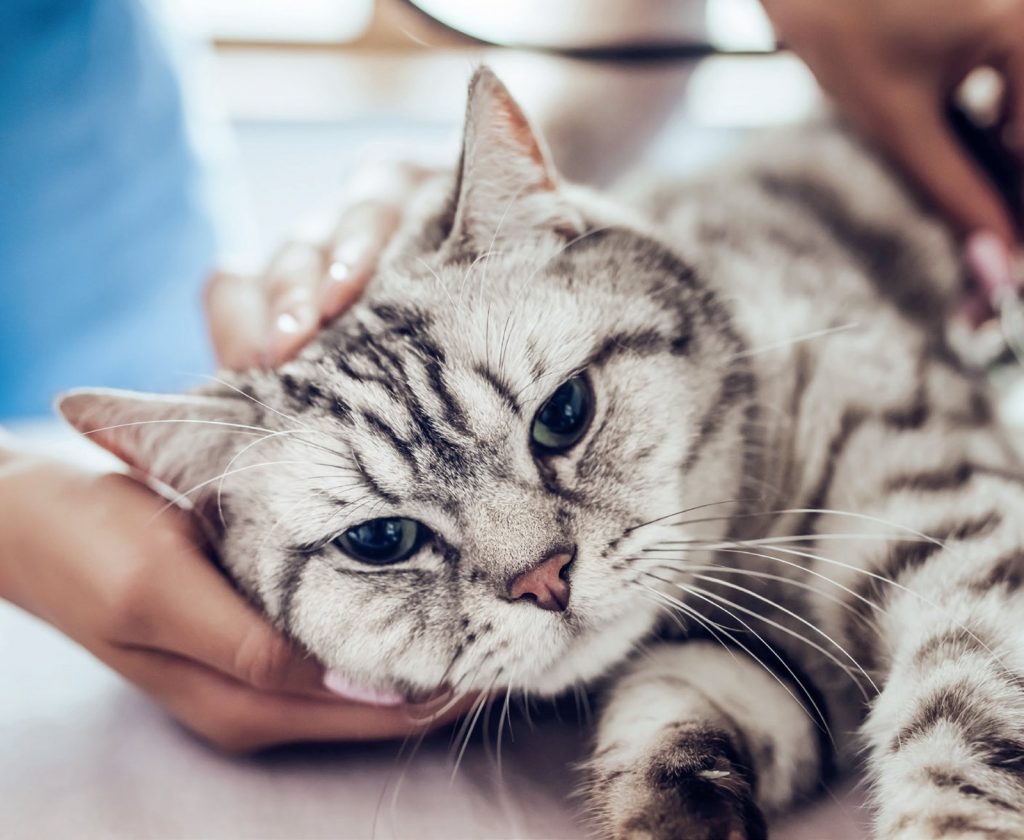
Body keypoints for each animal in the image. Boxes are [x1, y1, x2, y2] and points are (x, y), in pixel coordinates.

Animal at [59, 67, 1024, 840]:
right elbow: (664, 740)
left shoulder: (966, 544)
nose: (545, 579)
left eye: (563, 414)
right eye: (380, 541)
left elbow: (960, 740)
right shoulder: (733, 666)